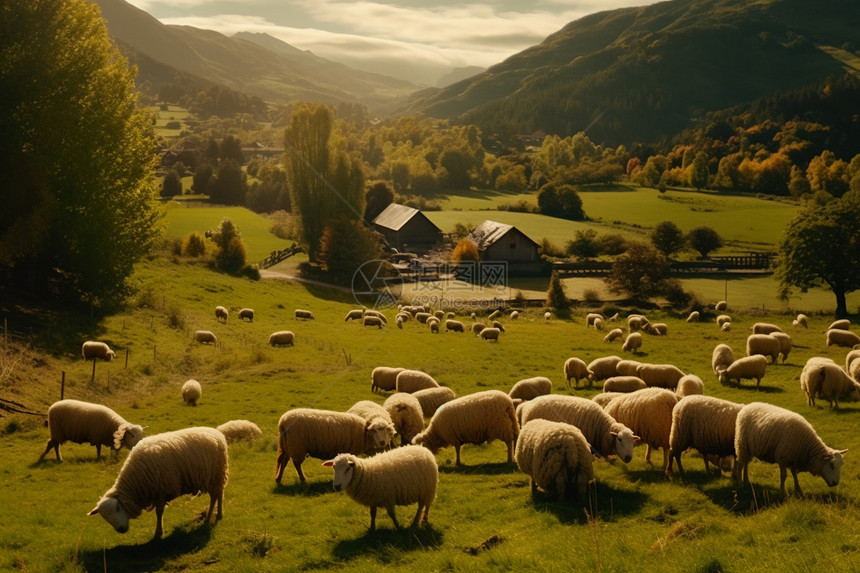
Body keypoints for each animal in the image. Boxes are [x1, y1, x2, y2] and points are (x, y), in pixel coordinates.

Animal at [88, 426, 228, 540]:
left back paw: (211, 517)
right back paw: (218, 515)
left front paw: (158, 532)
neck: (134, 482)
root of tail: (217, 433)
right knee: (219, 495)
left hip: (215, 475)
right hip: (215, 477)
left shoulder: (162, 491)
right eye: (104, 517)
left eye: (117, 508)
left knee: (215, 496)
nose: (121, 530)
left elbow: (159, 512)